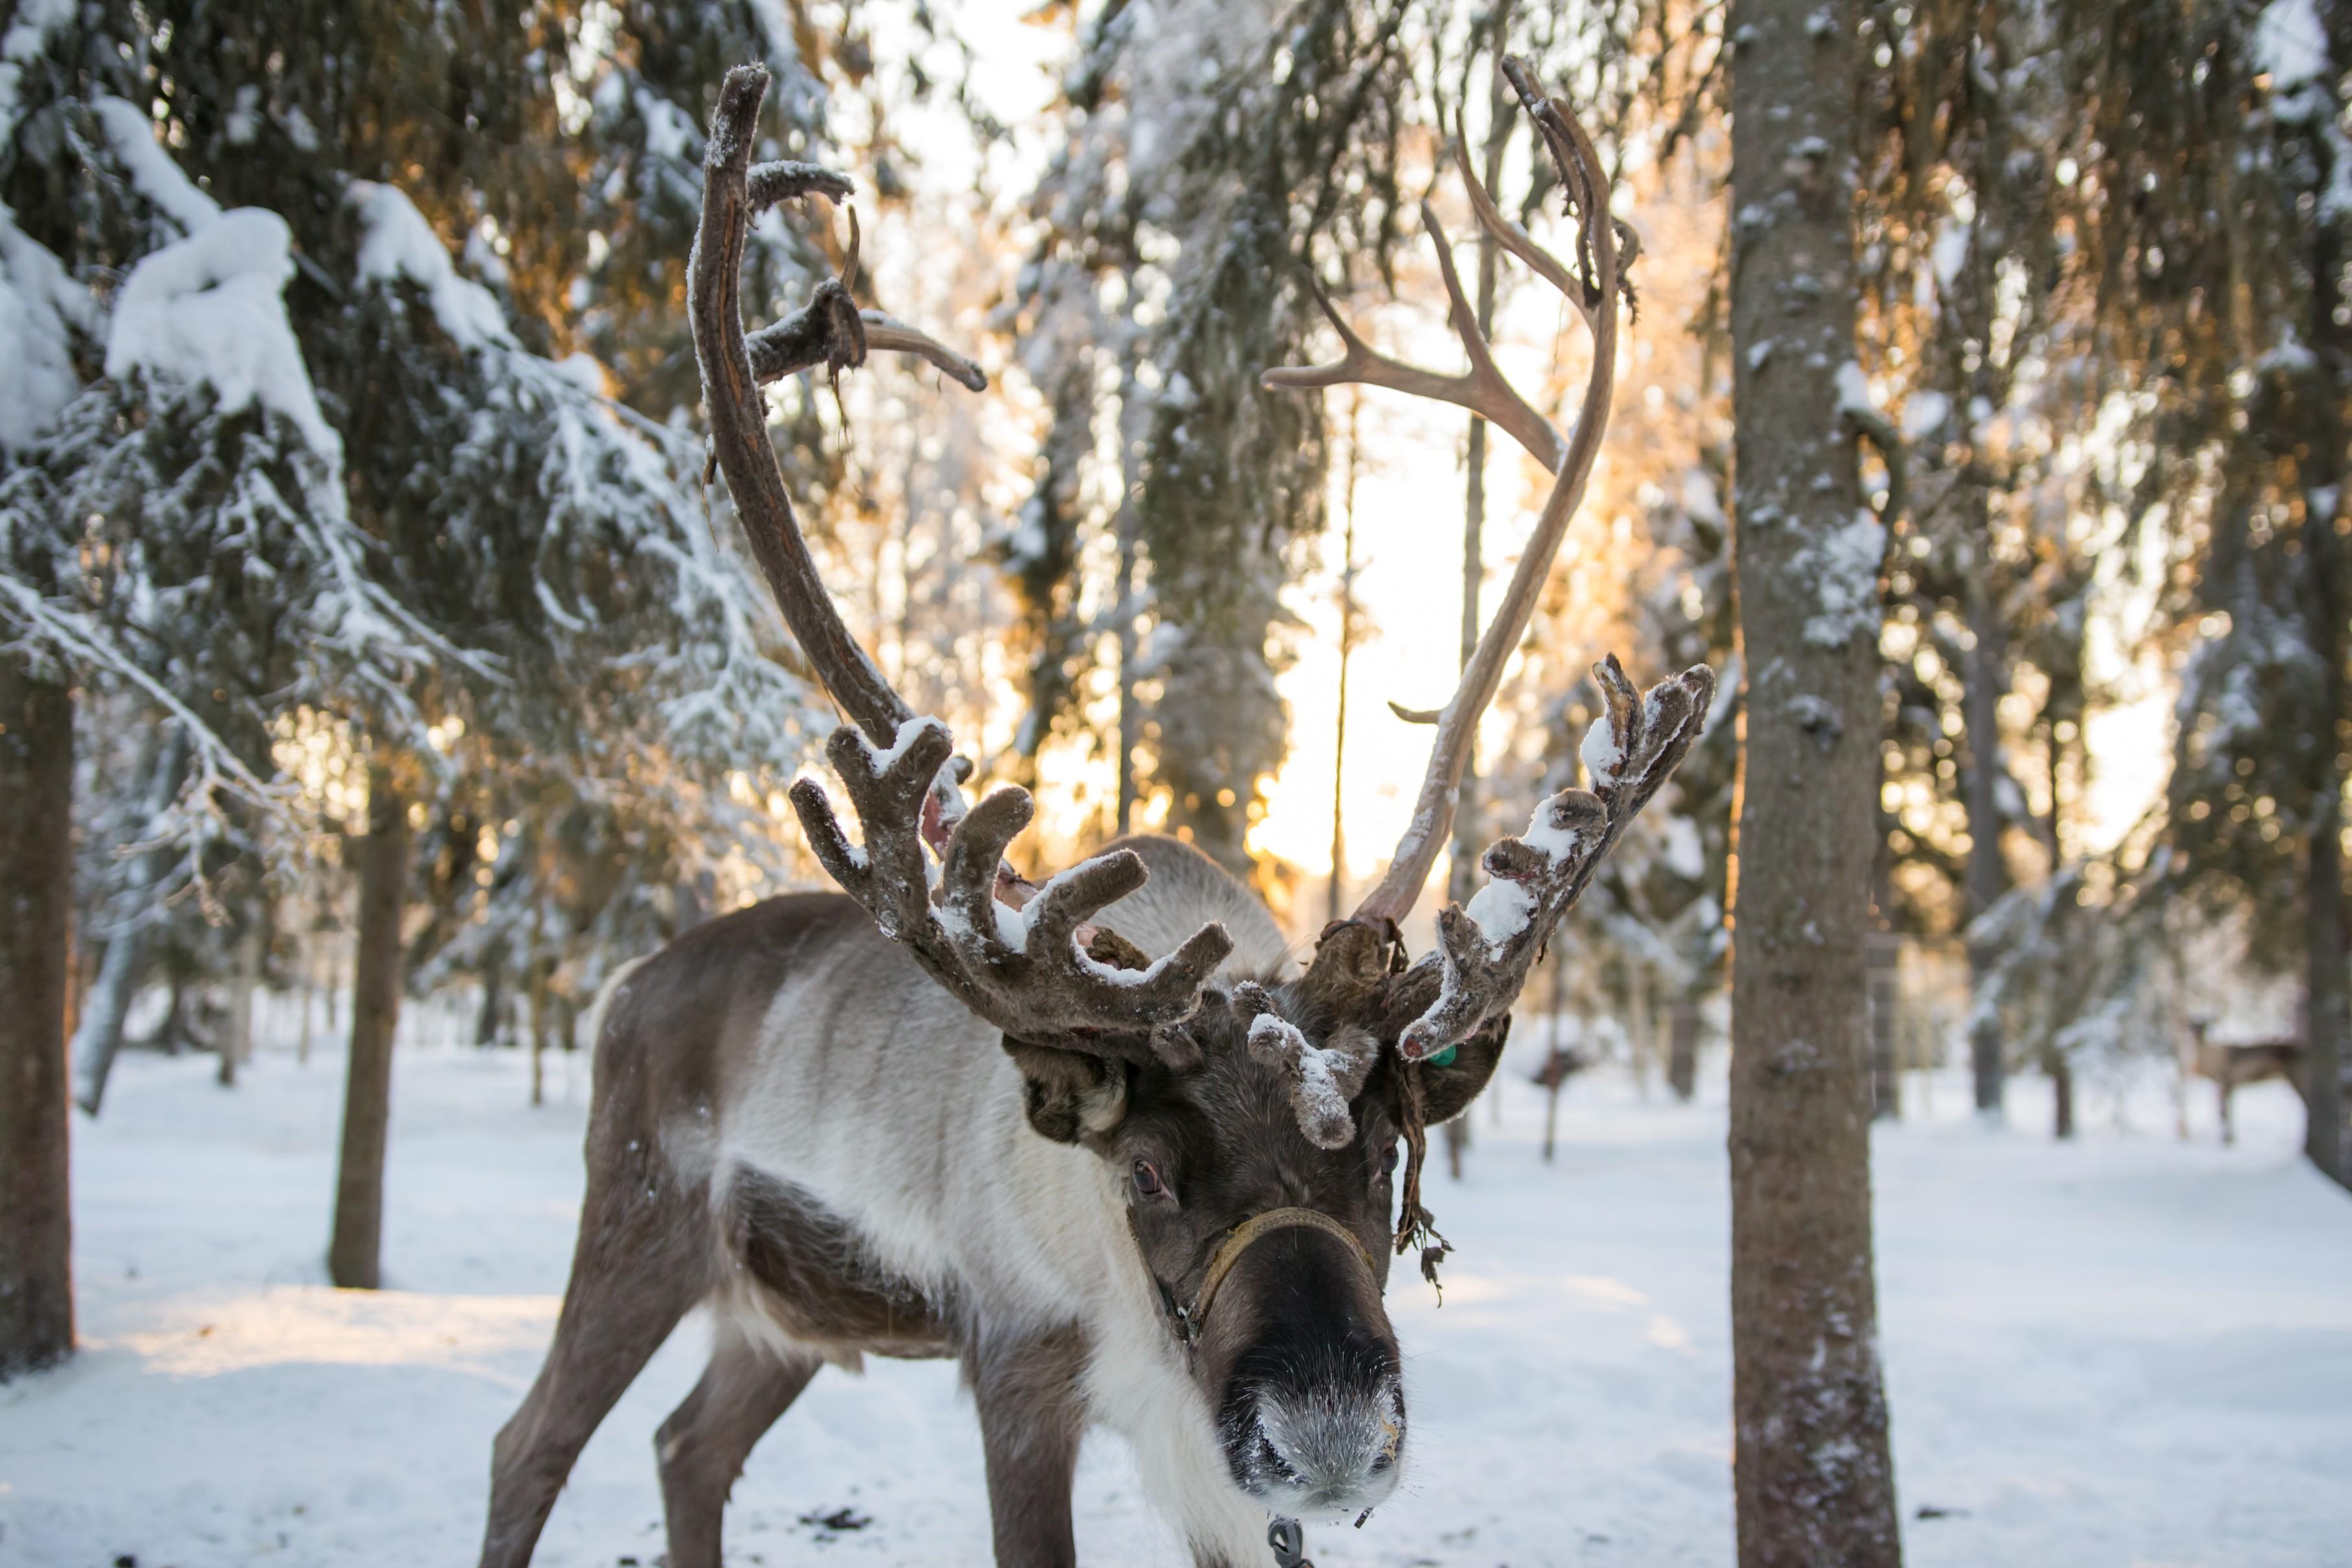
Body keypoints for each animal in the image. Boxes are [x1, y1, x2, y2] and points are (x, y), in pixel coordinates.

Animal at [477, 56, 1713, 1568]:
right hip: (639, 1217)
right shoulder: (1020, 1363)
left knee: (683, 1446)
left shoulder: (1213, 1460)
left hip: (781, 1315)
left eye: (1383, 1163)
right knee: (531, 1441)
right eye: (1149, 1177)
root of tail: (625, 984)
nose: (1329, 1439)